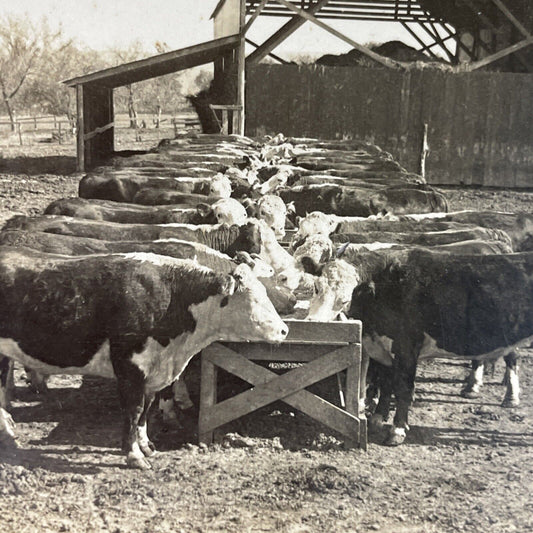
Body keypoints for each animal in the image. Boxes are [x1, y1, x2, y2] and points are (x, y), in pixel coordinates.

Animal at [348, 249, 528, 444]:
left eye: (346, 298)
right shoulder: (382, 349)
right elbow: (385, 383)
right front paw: (377, 418)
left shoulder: (406, 348)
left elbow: (403, 388)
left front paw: (397, 430)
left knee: (512, 358)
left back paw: (510, 398)